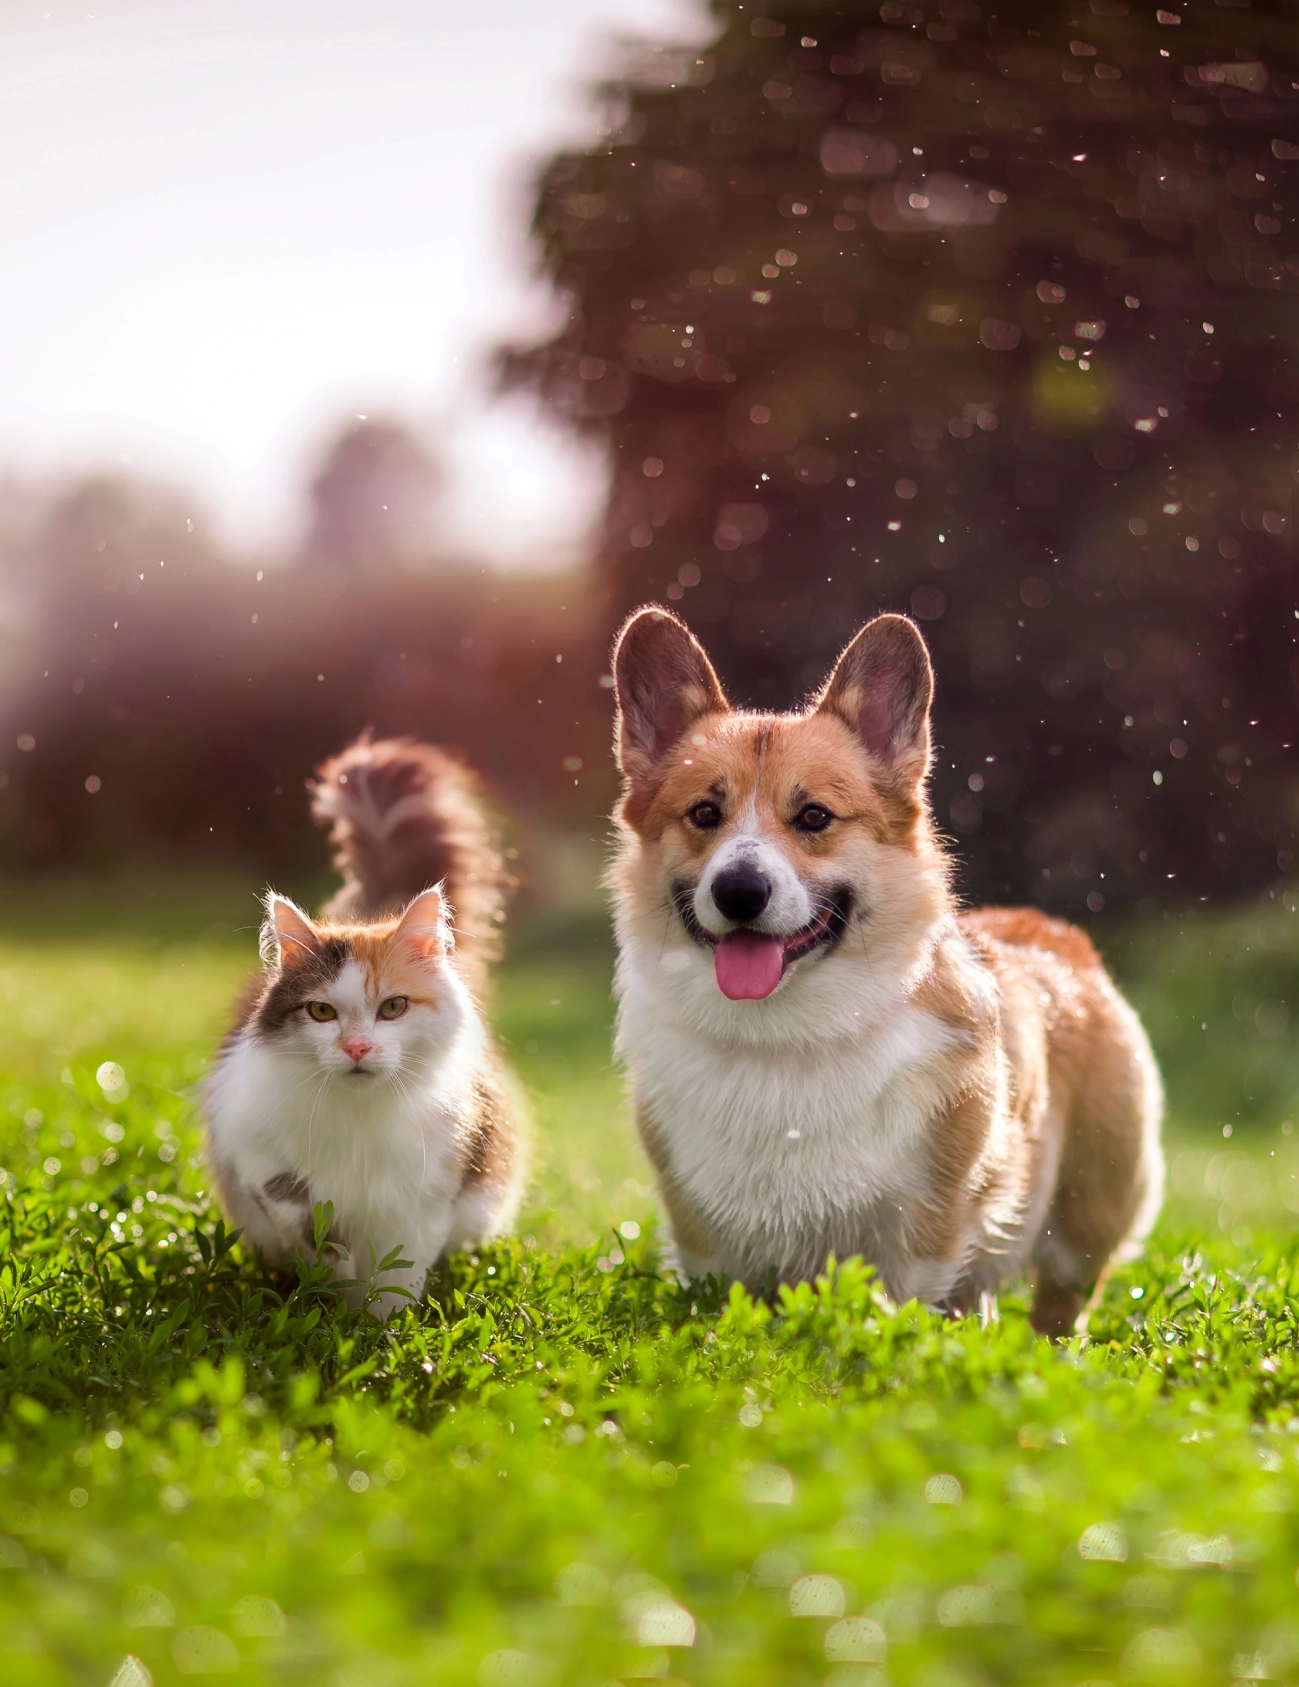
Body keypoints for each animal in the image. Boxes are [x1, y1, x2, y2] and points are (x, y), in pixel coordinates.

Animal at [200, 742, 519, 1315]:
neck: (359, 1119)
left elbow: (399, 1278)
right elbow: (304, 1218)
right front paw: (336, 1294)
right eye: (322, 1013)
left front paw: (380, 1328)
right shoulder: (253, 1151)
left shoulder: (427, 1193)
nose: (357, 1047)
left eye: (392, 1008)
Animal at [607, 607, 1160, 1329]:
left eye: (814, 816)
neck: (783, 1035)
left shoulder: (925, 1229)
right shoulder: (702, 1236)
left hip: (1083, 1222)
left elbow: (904, 1306)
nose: (738, 891)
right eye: (704, 812)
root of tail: (1056, 933)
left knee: (1059, 1305)